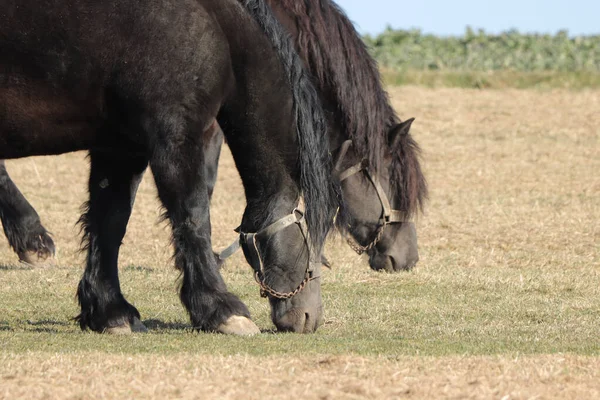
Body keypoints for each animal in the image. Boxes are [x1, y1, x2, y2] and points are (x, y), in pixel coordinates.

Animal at [0, 0, 340, 334]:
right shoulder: (175, 139)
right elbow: (193, 216)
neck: (213, 25)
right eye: (310, 236)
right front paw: (221, 309)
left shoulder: (121, 149)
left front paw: (110, 312)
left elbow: (110, 221)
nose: (310, 317)